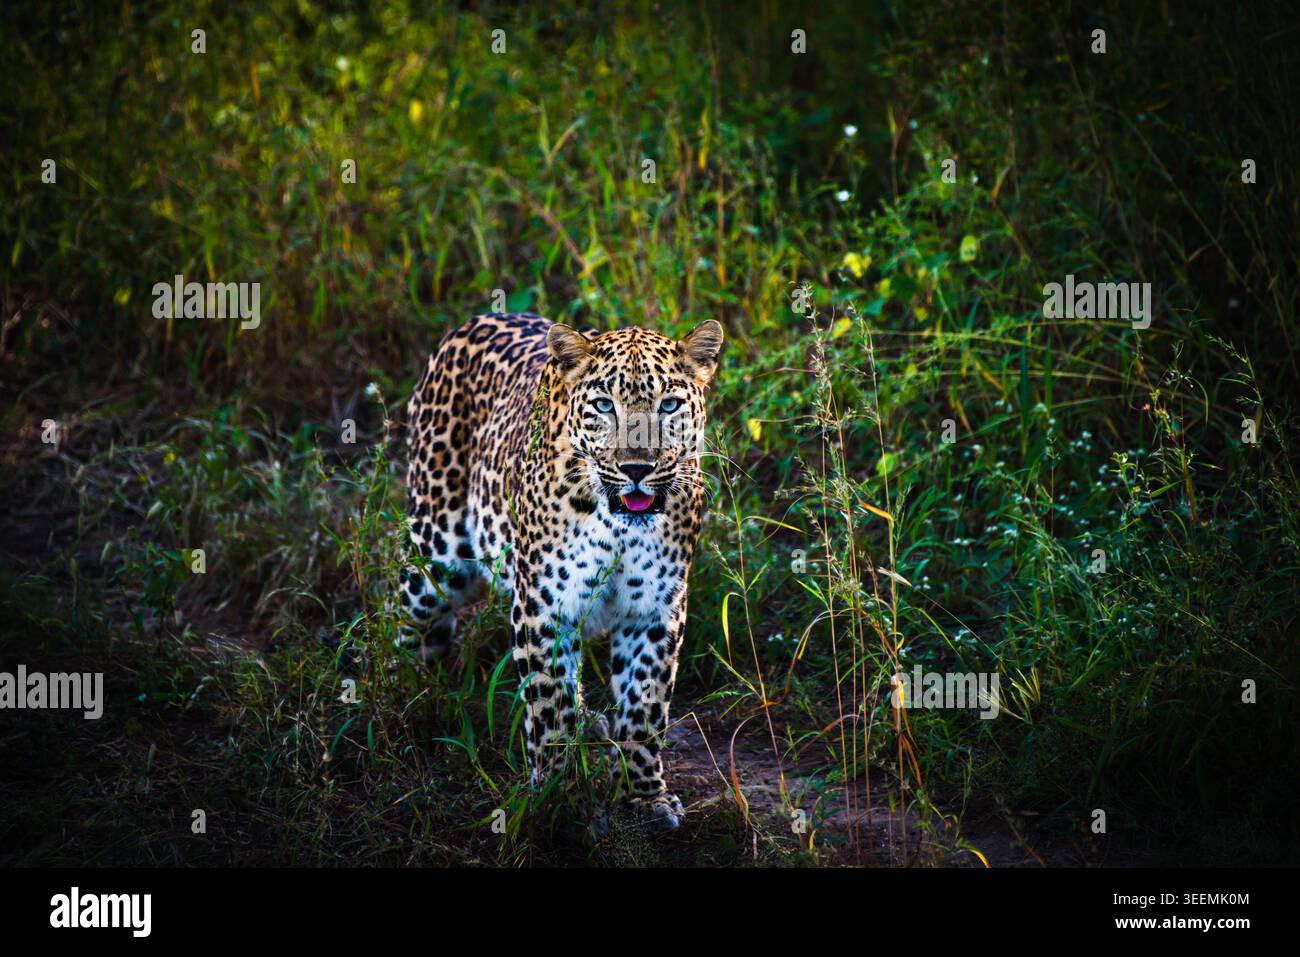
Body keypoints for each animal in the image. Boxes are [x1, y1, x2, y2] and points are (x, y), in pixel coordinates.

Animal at [400, 311, 724, 829]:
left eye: (669, 404)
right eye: (603, 405)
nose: (637, 468)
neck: (618, 525)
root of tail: (473, 320)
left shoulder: (656, 610)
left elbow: (645, 703)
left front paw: (643, 795)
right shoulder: (543, 606)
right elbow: (549, 708)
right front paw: (559, 800)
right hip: (436, 555)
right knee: (407, 621)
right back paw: (404, 696)